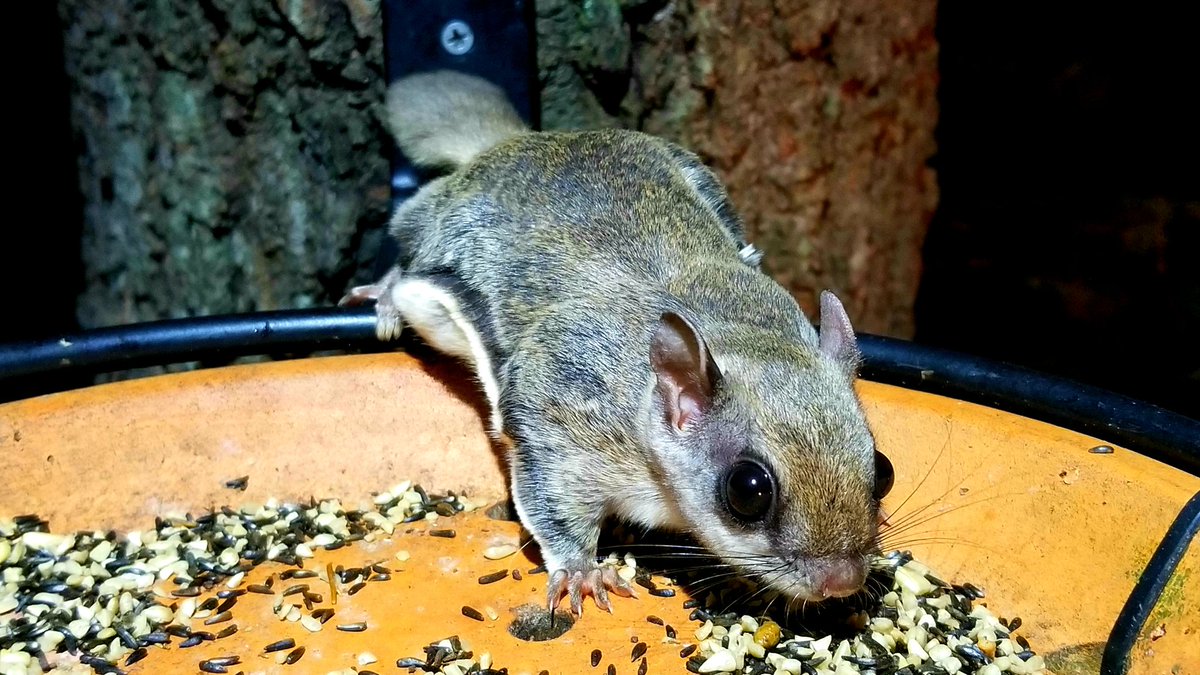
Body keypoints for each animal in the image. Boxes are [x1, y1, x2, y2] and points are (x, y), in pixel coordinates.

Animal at [342, 70, 891, 616]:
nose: (841, 581)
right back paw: (383, 295)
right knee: (405, 267)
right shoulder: (565, 419)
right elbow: (553, 502)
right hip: (431, 272)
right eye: (748, 490)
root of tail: (513, 142)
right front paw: (582, 571)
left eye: (882, 471)